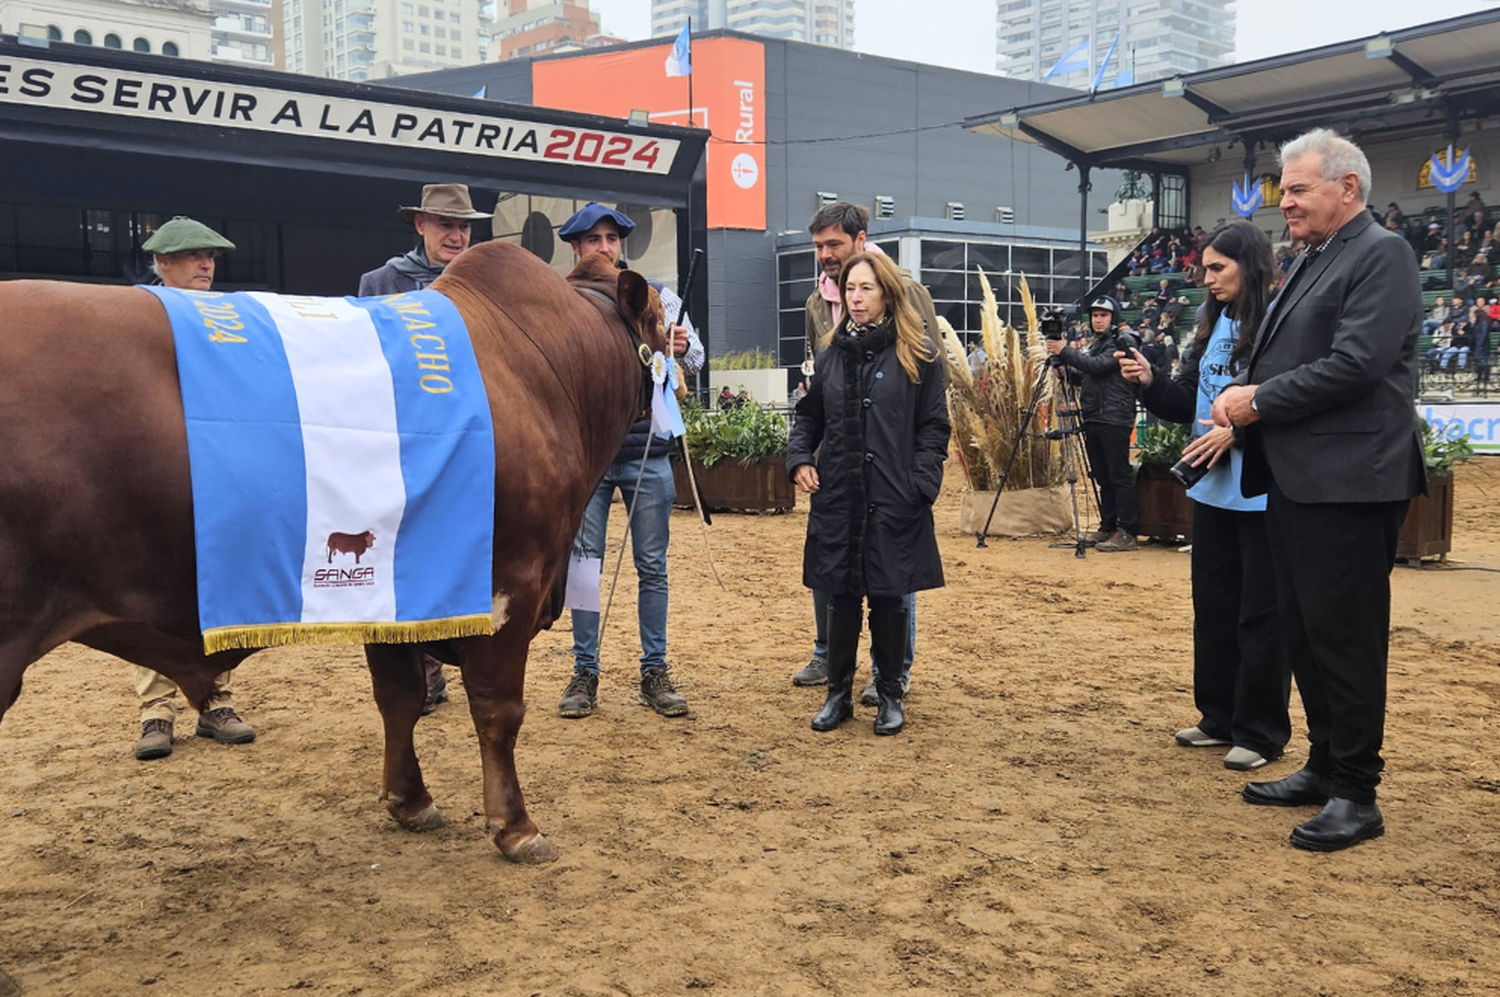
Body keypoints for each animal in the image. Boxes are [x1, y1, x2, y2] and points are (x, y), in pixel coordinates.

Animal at [0, 242, 663, 863]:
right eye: (662, 319)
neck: (544, 373)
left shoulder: (392, 590)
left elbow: (398, 697)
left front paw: (410, 801)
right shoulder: (512, 582)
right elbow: (498, 710)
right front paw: (517, 827)